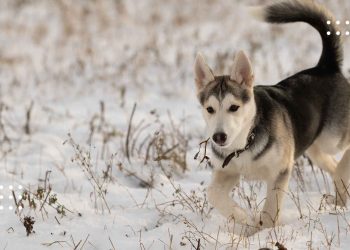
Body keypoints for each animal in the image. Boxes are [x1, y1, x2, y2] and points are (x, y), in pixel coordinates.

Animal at [194, 0, 350, 234]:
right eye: (210, 109)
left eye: (234, 107)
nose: (219, 137)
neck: (244, 143)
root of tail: (325, 67)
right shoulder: (228, 170)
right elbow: (213, 194)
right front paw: (244, 218)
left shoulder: (280, 171)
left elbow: (271, 206)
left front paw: (264, 231)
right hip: (314, 147)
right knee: (332, 165)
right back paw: (340, 198)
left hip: (332, 138)